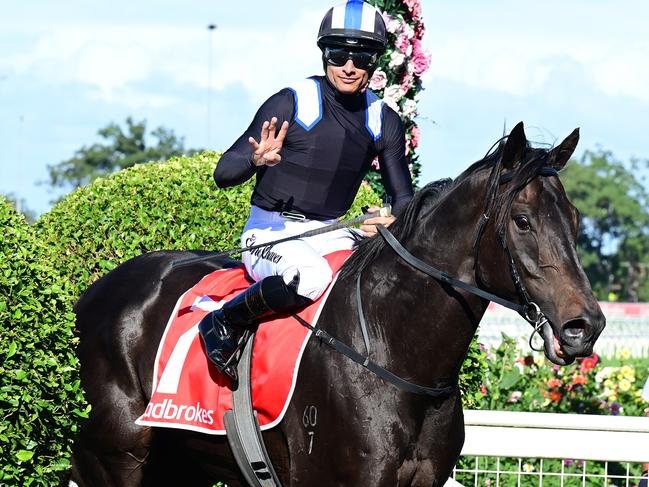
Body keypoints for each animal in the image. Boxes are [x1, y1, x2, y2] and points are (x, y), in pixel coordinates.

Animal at [68, 124, 604, 487]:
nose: (585, 326)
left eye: (576, 219)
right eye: (522, 220)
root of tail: (93, 293)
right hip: (114, 458)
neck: (393, 352)